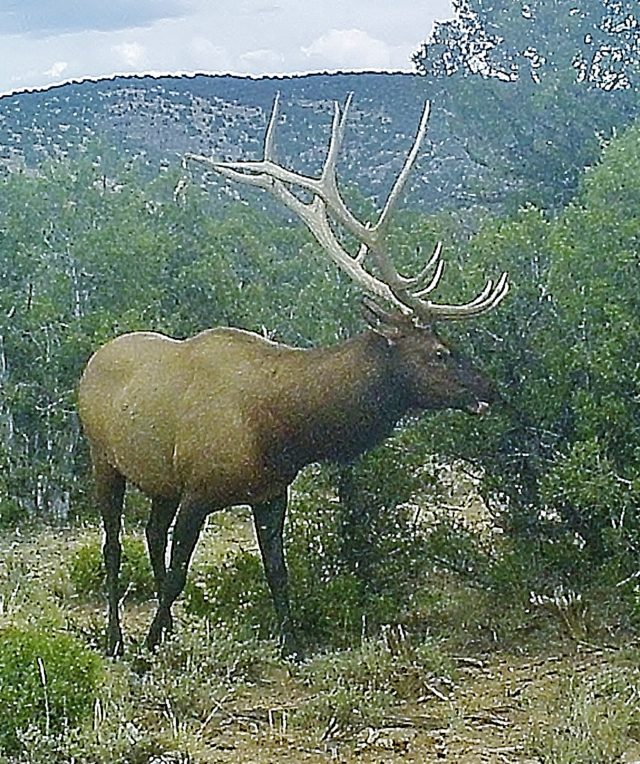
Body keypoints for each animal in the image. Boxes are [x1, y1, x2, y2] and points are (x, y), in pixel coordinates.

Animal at [80, 94, 508, 656]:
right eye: (439, 352)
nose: (489, 388)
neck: (282, 428)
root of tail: (90, 362)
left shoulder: (270, 493)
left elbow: (277, 570)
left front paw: (292, 645)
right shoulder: (198, 489)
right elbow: (178, 574)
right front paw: (147, 651)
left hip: (159, 479)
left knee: (150, 534)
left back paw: (168, 630)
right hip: (104, 460)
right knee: (112, 545)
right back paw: (117, 638)